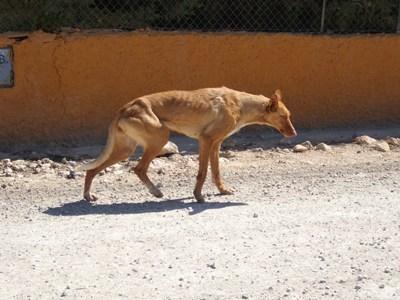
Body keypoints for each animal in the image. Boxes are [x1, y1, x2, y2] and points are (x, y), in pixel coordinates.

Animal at [79, 88, 296, 203]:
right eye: (284, 116)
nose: (294, 134)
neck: (241, 104)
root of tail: (125, 107)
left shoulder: (216, 144)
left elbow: (216, 172)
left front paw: (222, 190)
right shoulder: (205, 140)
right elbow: (202, 173)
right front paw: (198, 196)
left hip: (126, 149)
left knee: (92, 171)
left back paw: (88, 195)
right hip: (158, 139)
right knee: (138, 168)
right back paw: (155, 191)